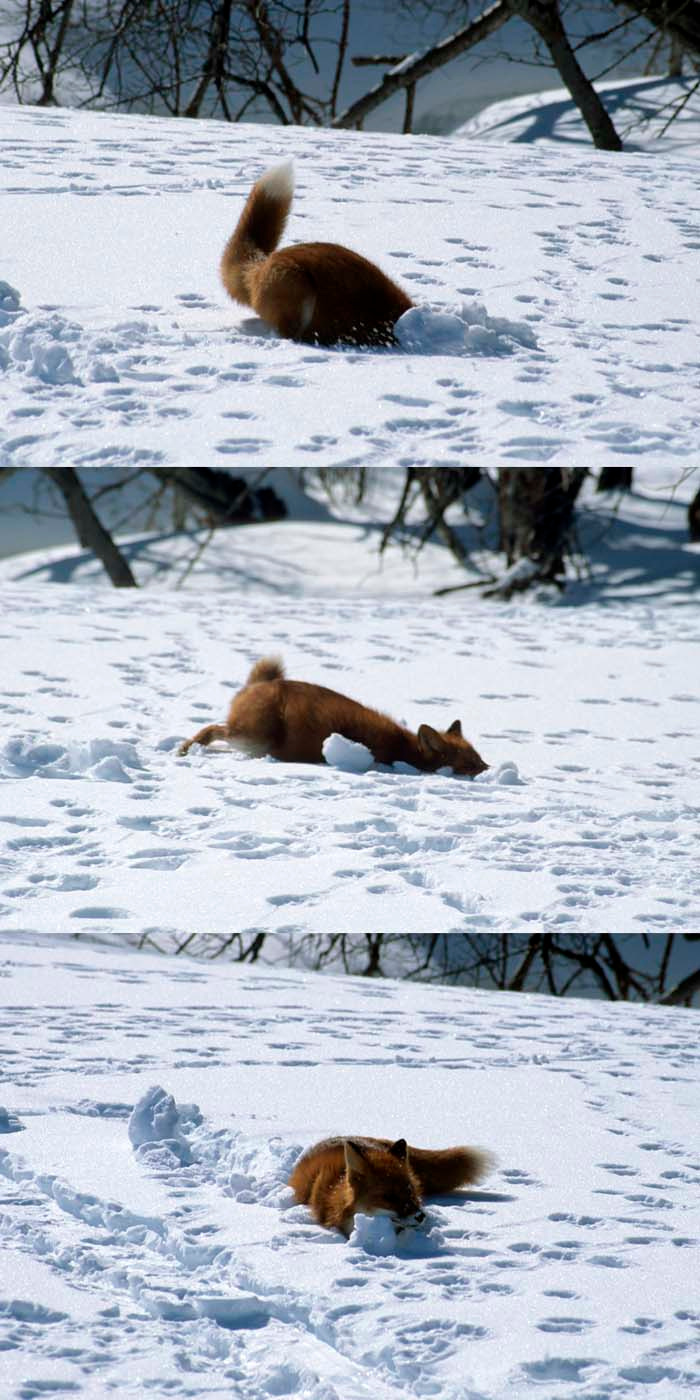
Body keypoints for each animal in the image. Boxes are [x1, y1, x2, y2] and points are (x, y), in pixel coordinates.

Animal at [177, 656, 488, 775]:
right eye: (471, 765)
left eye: (480, 759)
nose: (490, 769)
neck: (402, 748)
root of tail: (263, 683)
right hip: (253, 737)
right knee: (211, 729)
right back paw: (186, 748)